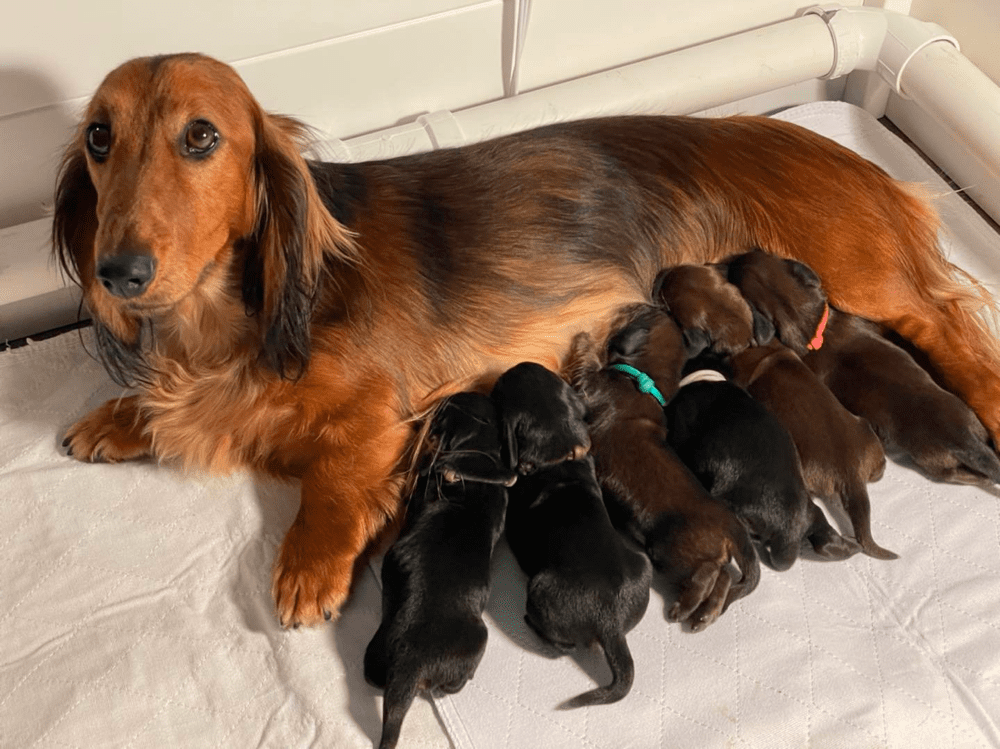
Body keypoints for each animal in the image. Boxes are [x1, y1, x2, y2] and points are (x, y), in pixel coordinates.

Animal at [572, 324, 756, 628]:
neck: (642, 379)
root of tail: (733, 526)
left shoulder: (591, 387)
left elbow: (586, 365)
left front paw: (584, 339)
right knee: (724, 579)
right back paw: (705, 614)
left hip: (673, 550)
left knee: (710, 573)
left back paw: (683, 608)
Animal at [656, 268, 860, 568]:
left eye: (668, 305)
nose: (662, 276)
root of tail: (788, 531)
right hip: (814, 513)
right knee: (825, 537)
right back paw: (848, 546)